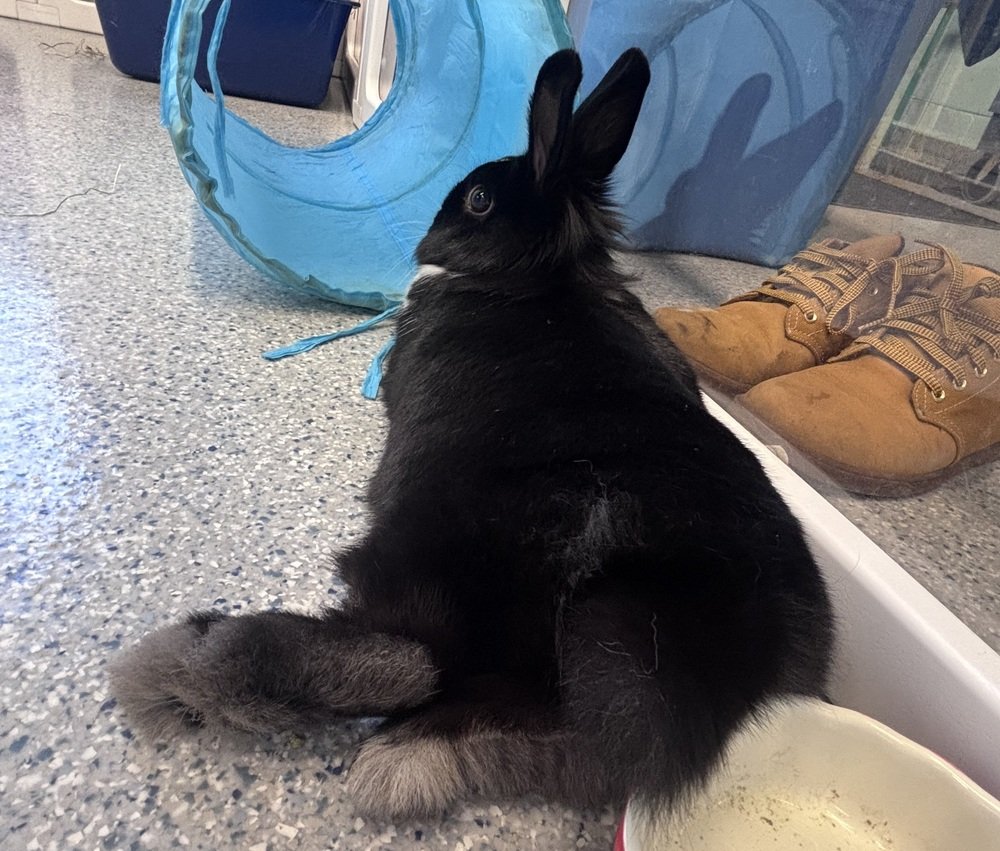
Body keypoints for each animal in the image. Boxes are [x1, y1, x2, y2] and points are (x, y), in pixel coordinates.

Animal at [111, 48, 834, 824]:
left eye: (480, 199)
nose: (430, 224)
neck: (536, 278)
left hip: (437, 566)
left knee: (406, 658)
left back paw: (173, 665)